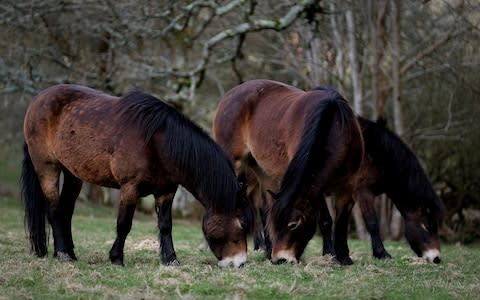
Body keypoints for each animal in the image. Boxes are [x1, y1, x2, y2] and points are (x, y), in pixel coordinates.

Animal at [21, 84, 255, 268]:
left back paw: (68, 252)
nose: (240, 263)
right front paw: (116, 258)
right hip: (48, 167)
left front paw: (171, 259)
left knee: (65, 211)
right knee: (53, 210)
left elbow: (166, 226)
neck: (158, 143)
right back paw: (63, 254)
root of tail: (37, 100)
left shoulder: (166, 192)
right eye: (242, 224)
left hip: (73, 174)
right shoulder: (130, 188)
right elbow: (124, 224)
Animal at [214, 79, 364, 264]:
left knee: (264, 209)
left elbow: (341, 222)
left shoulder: (347, 188)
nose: (281, 259)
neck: (336, 131)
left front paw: (343, 257)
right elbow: (325, 220)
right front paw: (330, 253)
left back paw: (267, 250)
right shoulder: (316, 189)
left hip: (264, 173)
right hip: (235, 163)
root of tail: (228, 96)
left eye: (293, 224)